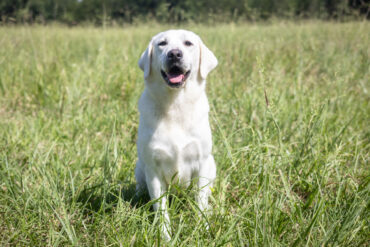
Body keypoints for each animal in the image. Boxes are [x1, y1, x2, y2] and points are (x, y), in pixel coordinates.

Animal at [135, 29, 217, 239]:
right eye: (162, 44)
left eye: (188, 43)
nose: (174, 54)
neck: (175, 105)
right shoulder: (153, 169)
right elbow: (161, 209)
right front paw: (164, 237)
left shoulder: (202, 163)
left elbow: (200, 202)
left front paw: (202, 230)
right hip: (139, 167)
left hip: (212, 164)